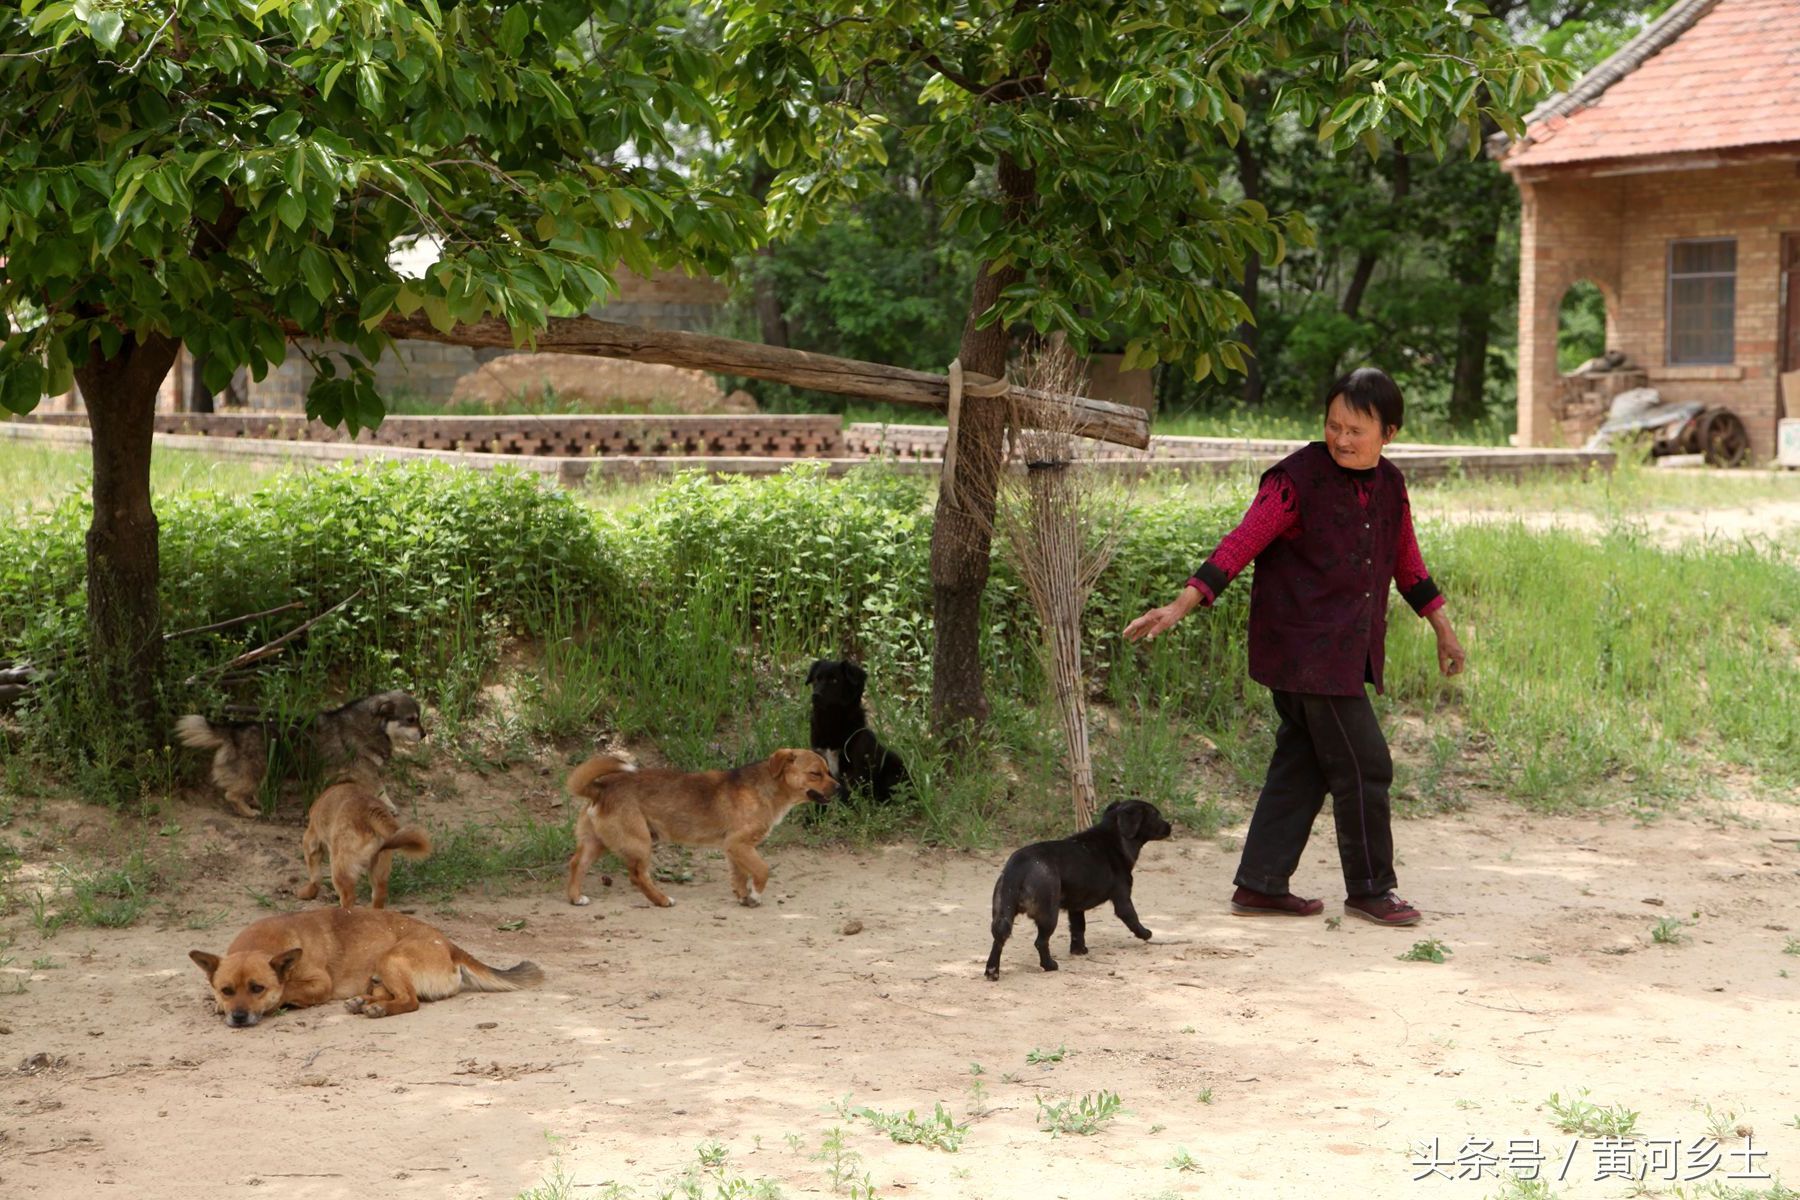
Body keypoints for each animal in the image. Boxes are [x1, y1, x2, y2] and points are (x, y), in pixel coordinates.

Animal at [192, 906, 540, 1029]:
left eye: (257, 989)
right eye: (226, 990)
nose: (238, 1017)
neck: (263, 943)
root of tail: (450, 945)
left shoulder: (319, 984)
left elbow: (287, 990)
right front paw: (217, 1006)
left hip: (389, 959)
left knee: (410, 1001)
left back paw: (377, 1009)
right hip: (380, 973)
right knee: (391, 994)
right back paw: (364, 1002)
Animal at [298, 780, 435, 910]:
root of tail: (370, 810)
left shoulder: (311, 840)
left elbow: (315, 877)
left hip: (340, 868)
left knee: (348, 898)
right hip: (380, 870)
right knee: (379, 896)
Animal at [561, 744, 835, 906]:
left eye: (828, 771)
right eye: (816, 773)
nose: (840, 787)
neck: (768, 786)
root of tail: (600, 788)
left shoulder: (734, 849)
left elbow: (740, 875)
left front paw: (744, 896)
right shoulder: (740, 844)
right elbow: (762, 870)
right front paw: (756, 894)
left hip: (596, 843)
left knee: (577, 864)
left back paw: (575, 897)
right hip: (639, 843)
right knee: (637, 876)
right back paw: (662, 900)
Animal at [986, 802, 1166, 978]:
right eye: (1156, 815)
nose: (1169, 826)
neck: (1115, 835)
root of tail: (1018, 865)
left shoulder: (1076, 908)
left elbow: (1078, 929)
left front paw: (1079, 950)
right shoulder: (1123, 900)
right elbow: (1133, 919)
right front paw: (1145, 933)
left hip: (1002, 913)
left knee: (999, 938)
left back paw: (992, 970)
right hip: (1048, 915)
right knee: (1040, 942)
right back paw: (1050, 965)